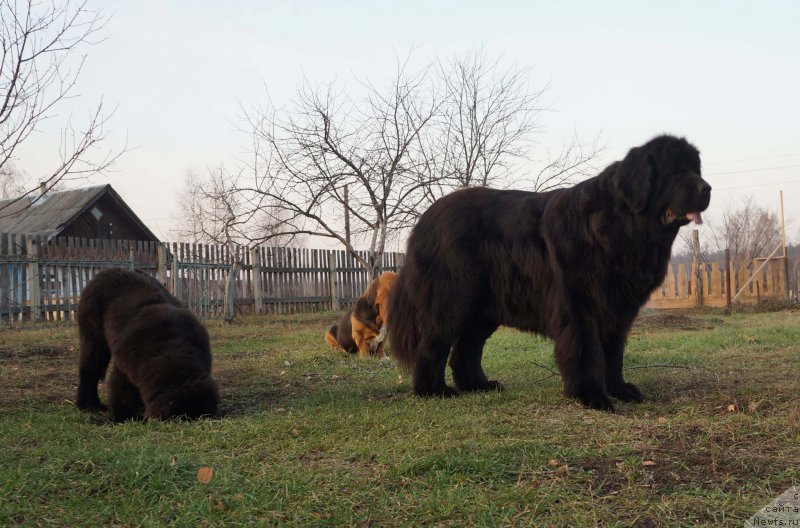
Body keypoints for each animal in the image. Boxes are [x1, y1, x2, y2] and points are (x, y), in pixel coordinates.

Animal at [76, 268, 219, 420]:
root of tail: (107, 271)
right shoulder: (126, 365)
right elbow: (121, 391)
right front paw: (123, 416)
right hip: (94, 339)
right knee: (89, 371)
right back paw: (89, 406)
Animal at [390, 134, 708, 410]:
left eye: (696, 169)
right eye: (675, 172)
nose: (707, 188)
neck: (623, 224)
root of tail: (425, 220)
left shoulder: (617, 308)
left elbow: (614, 353)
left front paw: (619, 389)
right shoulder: (580, 305)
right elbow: (587, 352)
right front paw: (593, 397)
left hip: (485, 306)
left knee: (467, 347)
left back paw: (478, 385)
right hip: (453, 298)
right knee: (434, 344)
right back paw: (433, 390)